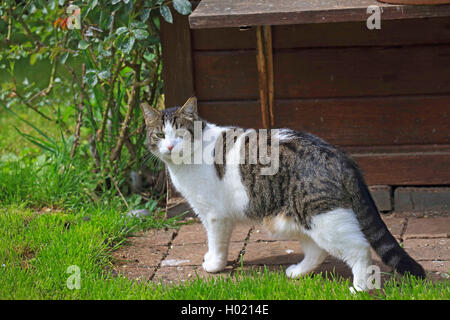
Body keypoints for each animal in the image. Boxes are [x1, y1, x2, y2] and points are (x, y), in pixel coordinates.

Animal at [141, 96, 426, 292]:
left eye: (180, 133)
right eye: (160, 134)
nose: (170, 146)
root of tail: (338, 154)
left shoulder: (214, 216)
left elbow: (216, 243)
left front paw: (214, 265)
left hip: (323, 217)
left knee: (360, 249)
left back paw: (359, 288)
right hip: (294, 219)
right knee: (317, 251)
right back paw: (298, 272)